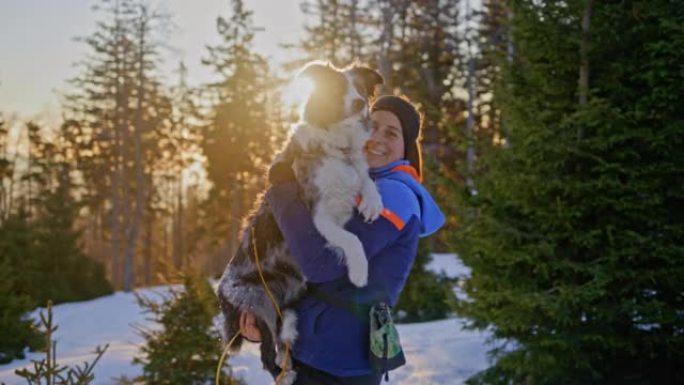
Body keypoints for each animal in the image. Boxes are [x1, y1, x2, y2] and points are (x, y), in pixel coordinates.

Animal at [215, 61, 384, 382]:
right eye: (337, 89)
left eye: (359, 88)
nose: (359, 103)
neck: (338, 149)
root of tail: (222, 294)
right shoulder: (318, 216)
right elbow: (352, 239)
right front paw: (359, 272)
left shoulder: (352, 176)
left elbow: (365, 178)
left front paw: (373, 201)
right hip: (260, 302)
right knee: (267, 351)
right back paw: (286, 374)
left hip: (289, 311)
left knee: (282, 342)